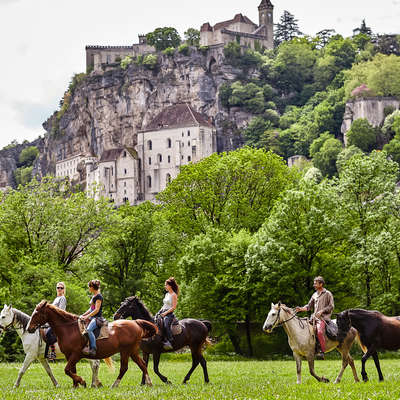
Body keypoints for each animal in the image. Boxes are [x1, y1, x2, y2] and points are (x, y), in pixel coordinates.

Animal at [26, 300, 157, 388]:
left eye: (36, 314)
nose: (29, 328)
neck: (68, 329)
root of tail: (135, 322)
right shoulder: (69, 355)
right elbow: (72, 370)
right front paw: (76, 386)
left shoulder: (76, 354)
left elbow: (67, 370)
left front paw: (82, 381)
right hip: (133, 351)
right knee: (142, 365)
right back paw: (149, 383)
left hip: (126, 351)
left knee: (124, 368)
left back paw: (115, 384)